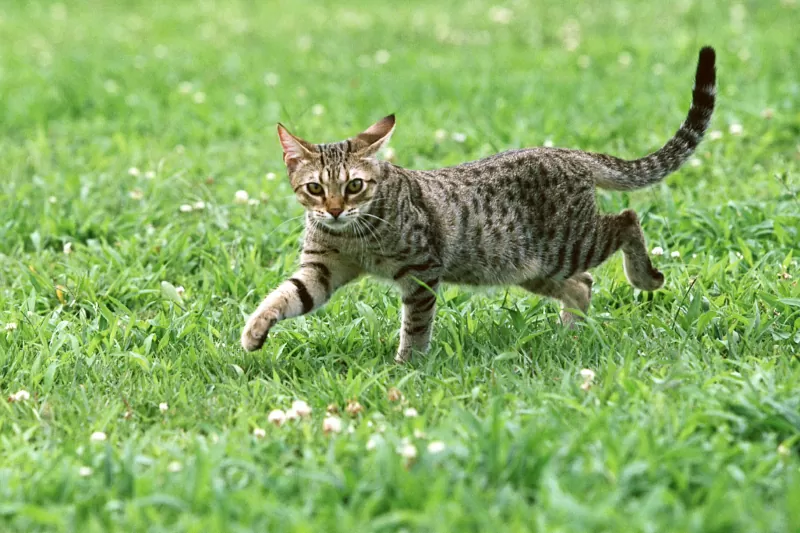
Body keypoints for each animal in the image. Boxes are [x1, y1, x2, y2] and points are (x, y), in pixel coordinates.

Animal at [241, 46, 716, 362]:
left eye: (354, 185)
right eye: (315, 189)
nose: (336, 209)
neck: (351, 236)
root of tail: (570, 153)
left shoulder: (422, 269)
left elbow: (415, 326)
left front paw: (407, 367)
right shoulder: (321, 269)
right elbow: (284, 296)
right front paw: (253, 331)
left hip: (569, 243)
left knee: (627, 220)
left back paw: (645, 277)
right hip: (535, 267)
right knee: (583, 284)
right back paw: (570, 336)